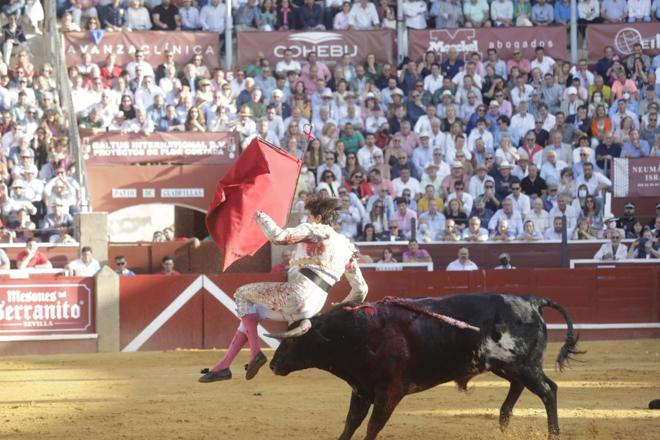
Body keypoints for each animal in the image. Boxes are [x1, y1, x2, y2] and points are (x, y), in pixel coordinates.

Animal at [270, 292, 584, 440]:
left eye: (292, 342)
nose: (273, 364)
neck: (357, 333)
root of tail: (530, 301)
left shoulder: (389, 393)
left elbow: (372, 427)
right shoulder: (361, 390)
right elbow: (350, 424)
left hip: (524, 365)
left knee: (549, 391)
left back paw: (553, 433)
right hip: (506, 366)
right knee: (519, 389)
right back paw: (503, 425)